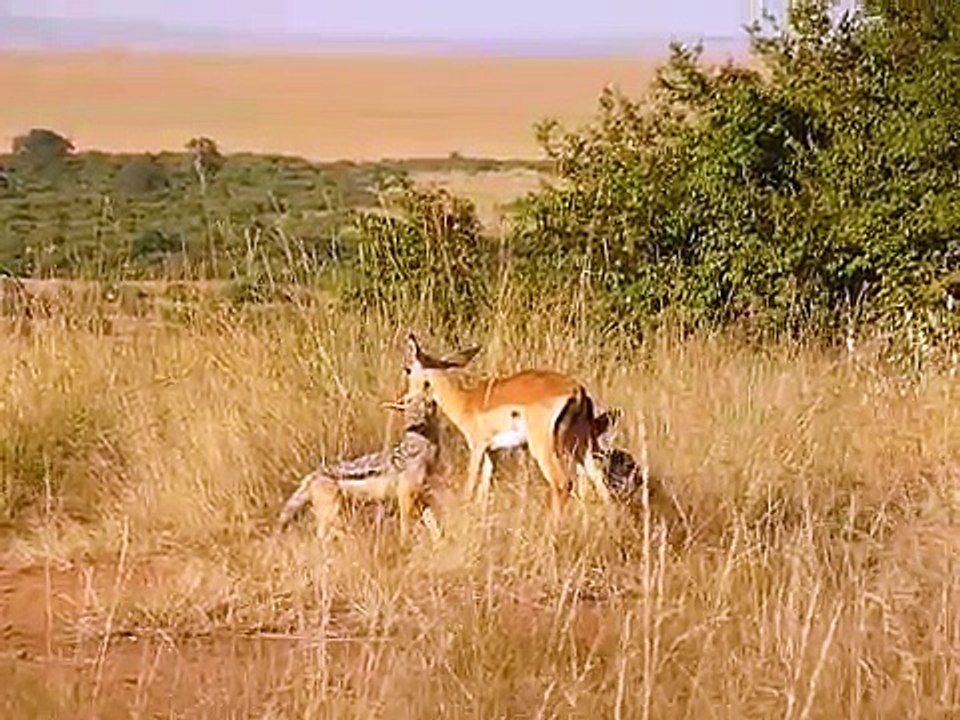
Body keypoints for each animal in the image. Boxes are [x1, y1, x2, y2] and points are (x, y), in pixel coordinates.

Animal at [276, 395, 443, 540]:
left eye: (427, 402)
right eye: (411, 402)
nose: (433, 401)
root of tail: (312, 476)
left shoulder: (421, 496)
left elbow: (433, 525)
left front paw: (439, 543)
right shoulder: (405, 497)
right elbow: (406, 526)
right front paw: (404, 544)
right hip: (330, 513)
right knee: (322, 536)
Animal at [401, 334, 609, 513]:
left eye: (408, 369)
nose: (405, 399)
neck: (467, 401)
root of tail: (577, 390)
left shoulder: (477, 447)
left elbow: (470, 486)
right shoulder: (492, 453)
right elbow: (483, 492)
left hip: (544, 447)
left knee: (562, 483)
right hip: (581, 445)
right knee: (597, 479)